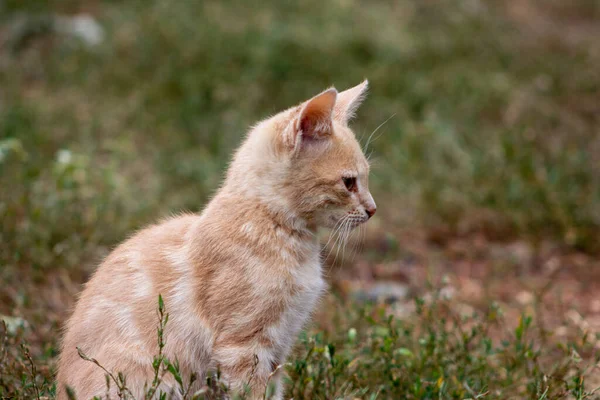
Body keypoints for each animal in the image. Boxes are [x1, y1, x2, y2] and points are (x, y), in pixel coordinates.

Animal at [56, 80, 376, 396]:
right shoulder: (244, 346)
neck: (271, 226)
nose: (372, 209)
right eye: (349, 182)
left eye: (366, 177)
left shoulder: (278, 350)